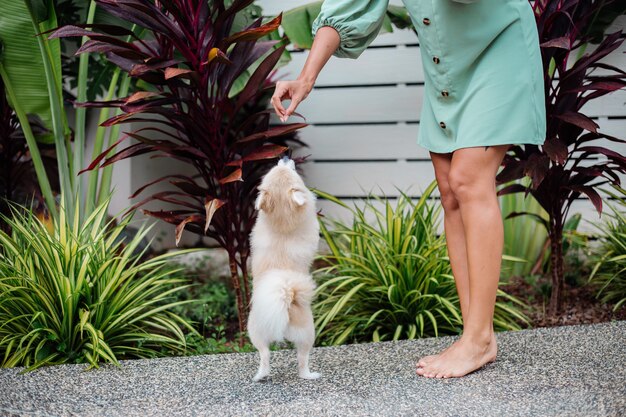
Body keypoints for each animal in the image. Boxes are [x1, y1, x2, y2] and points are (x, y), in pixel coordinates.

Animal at [246, 156, 320, 380]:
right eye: (289, 170)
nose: (285, 157)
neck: (282, 224)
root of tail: (285, 297)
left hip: (255, 332)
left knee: (264, 355)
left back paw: (260, 376)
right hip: (308, 333)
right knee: (302, 360)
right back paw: (309, 375)